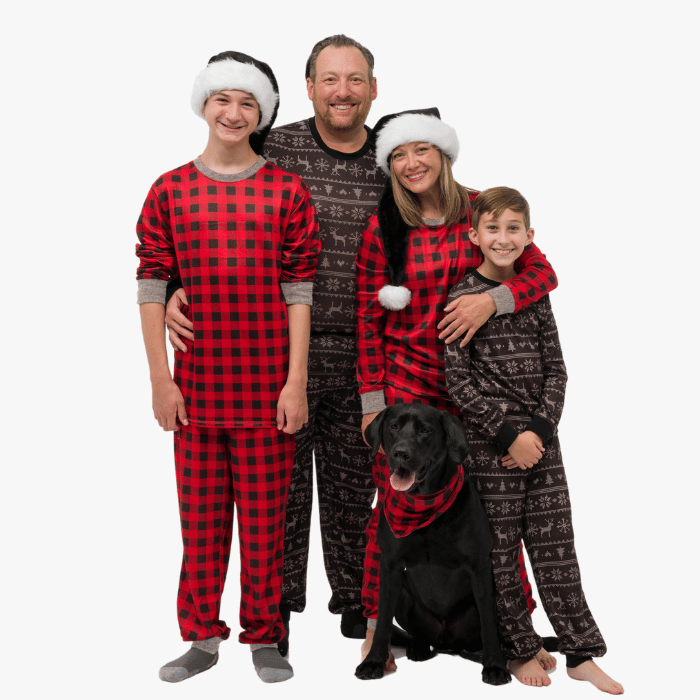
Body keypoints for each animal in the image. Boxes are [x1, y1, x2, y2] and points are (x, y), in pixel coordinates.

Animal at [356, 404, 508, 684]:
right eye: (393, 426)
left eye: (425, 430)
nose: (400, 453)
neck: (422, 506)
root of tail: (446, 642)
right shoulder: (391, 565)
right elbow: (382, 621)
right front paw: (373, 662)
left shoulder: (479, 564)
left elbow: (489, 625)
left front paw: (495, 666)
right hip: (404, 596)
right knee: (420, 634)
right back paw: (419, 648)